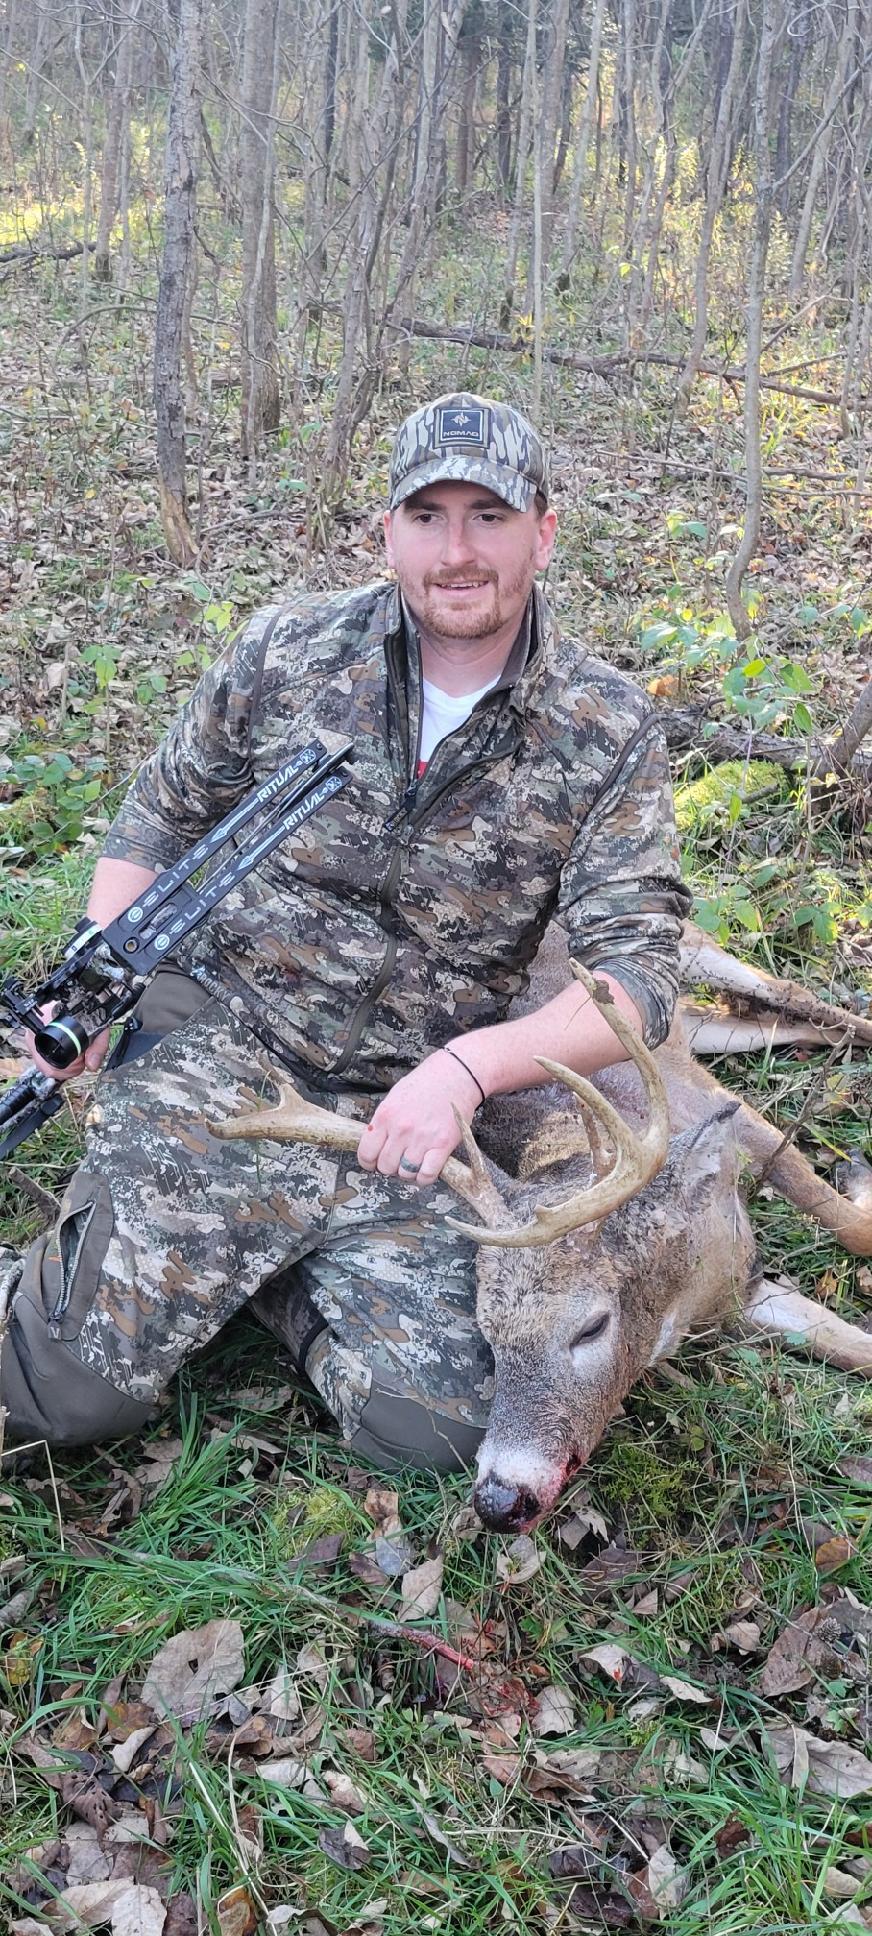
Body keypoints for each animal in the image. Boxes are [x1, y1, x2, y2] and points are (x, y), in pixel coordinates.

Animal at [210, 926, 872, 1535]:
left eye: (593, 1326)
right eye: (487, 1334)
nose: (500, 1500)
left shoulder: (725, 1143)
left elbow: (833, 1209)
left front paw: (849, 1182)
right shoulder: (744, 1291)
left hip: (693, 952)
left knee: (794, 997)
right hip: (700, 1021)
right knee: (757, 1021)